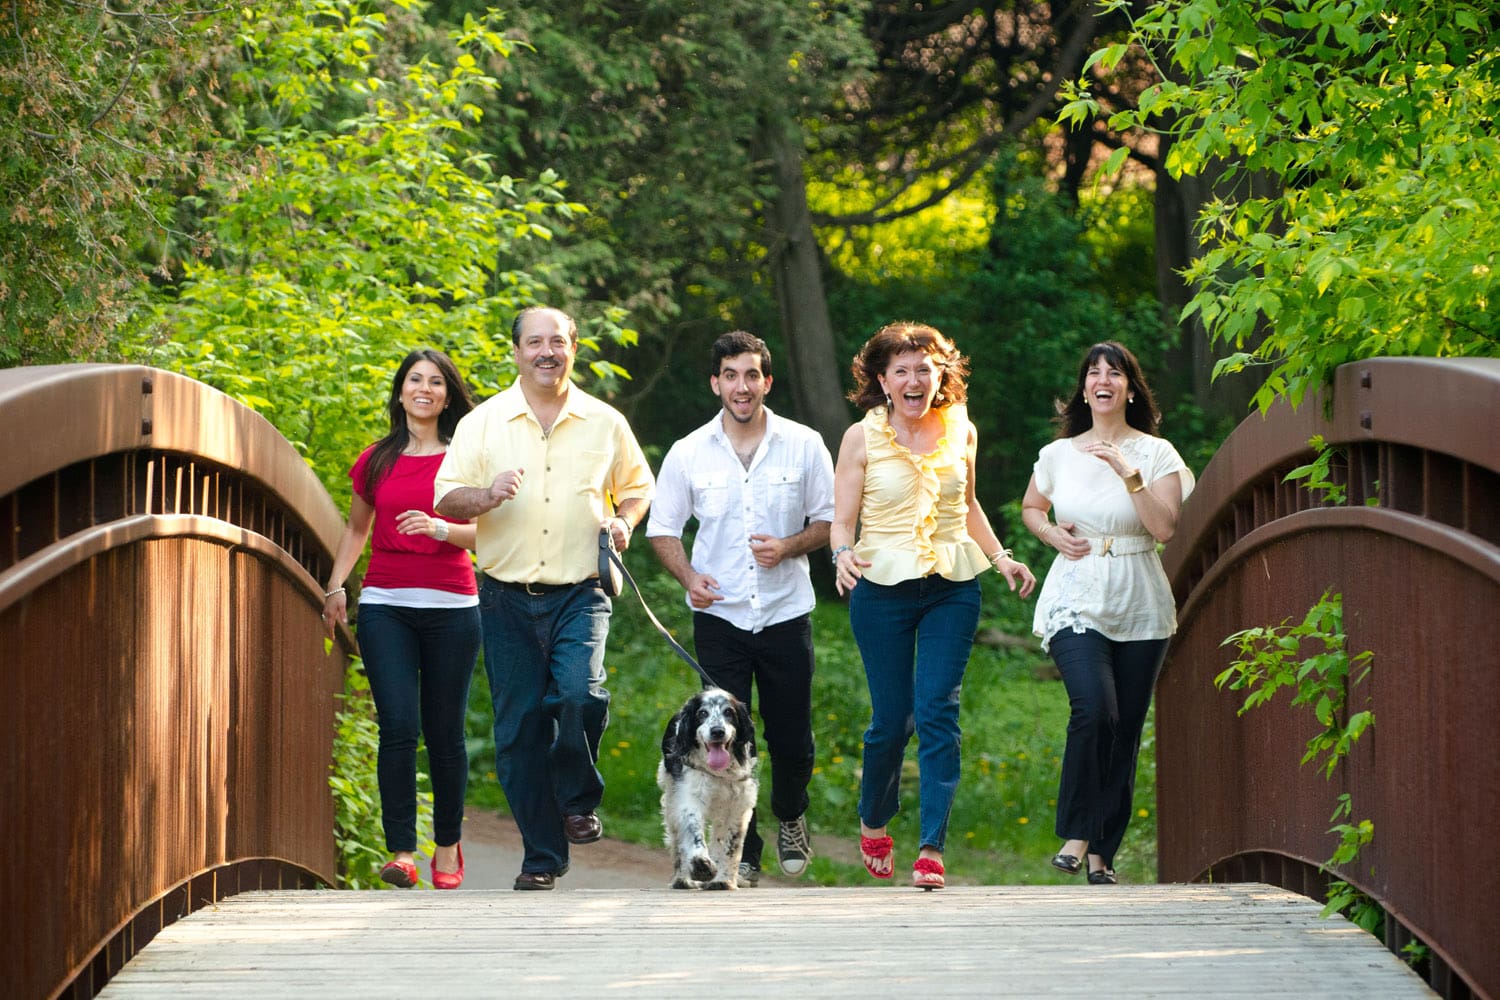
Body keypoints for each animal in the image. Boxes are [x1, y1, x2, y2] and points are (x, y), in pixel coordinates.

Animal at [657, 689, 762, 893]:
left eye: (729, 712)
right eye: (702, 713)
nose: (717, 731)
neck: (718, 773)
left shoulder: (737, 808)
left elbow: (729, 847)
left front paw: (723, 880)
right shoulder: (688, 799)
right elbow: (694, 834)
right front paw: (701, 866)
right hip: (671, 801)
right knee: (677, 842)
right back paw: (682, 879)